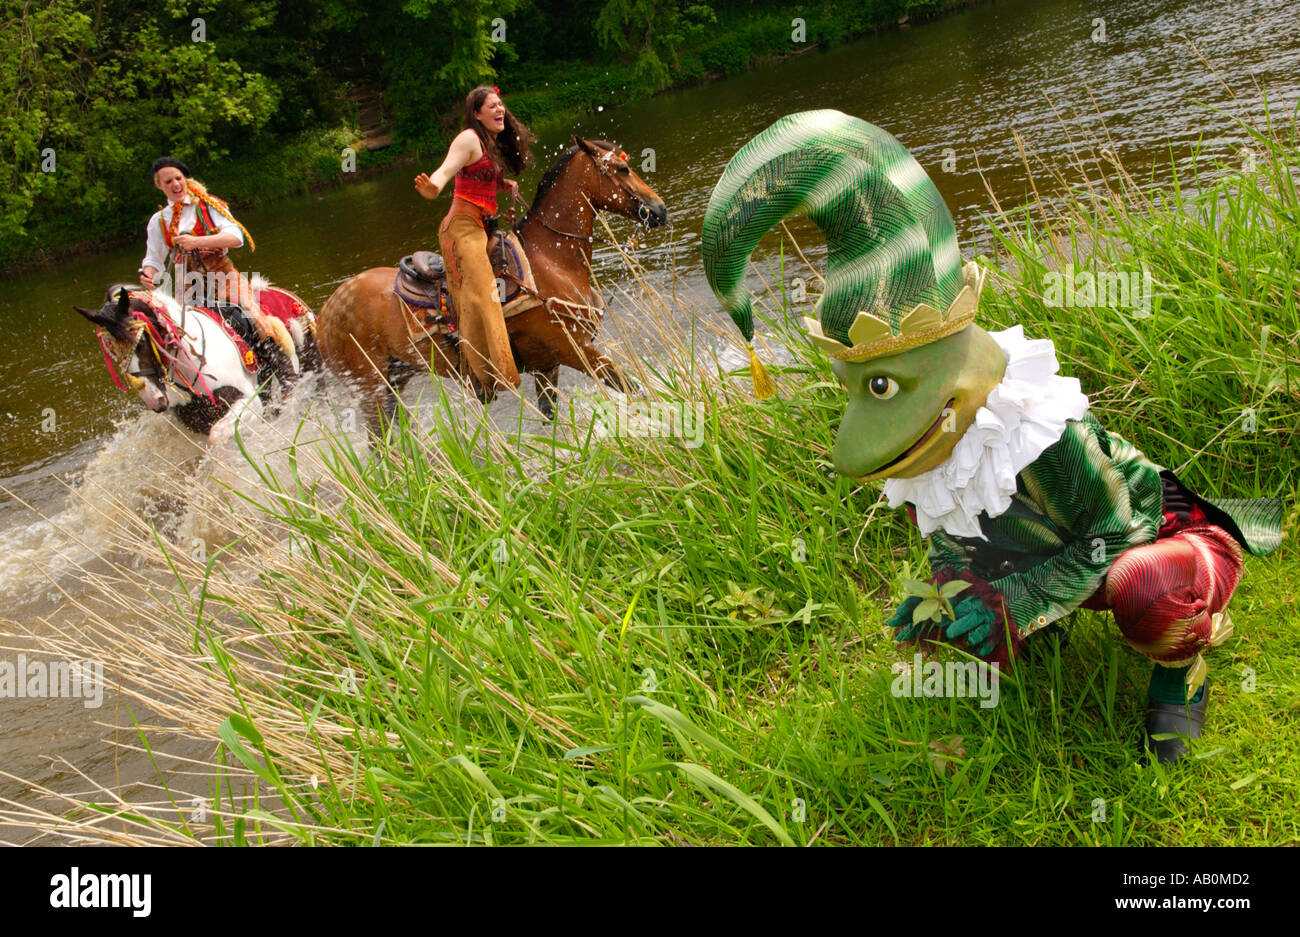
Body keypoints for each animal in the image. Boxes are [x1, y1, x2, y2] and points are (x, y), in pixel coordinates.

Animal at [74, 280, 321, 440]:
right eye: (112, 352)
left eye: (142, 340)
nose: (153, 400)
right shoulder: (194, 423)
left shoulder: (248, 401)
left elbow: (218, 435)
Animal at [316, 137, 668, 429]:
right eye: (622, 168)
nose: (659, 209)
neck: (550, 261)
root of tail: (324, 315)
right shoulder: (576, 350)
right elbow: (632, 386)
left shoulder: (547, 366)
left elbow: (550, 416)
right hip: (370, 389)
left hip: (394, 380)